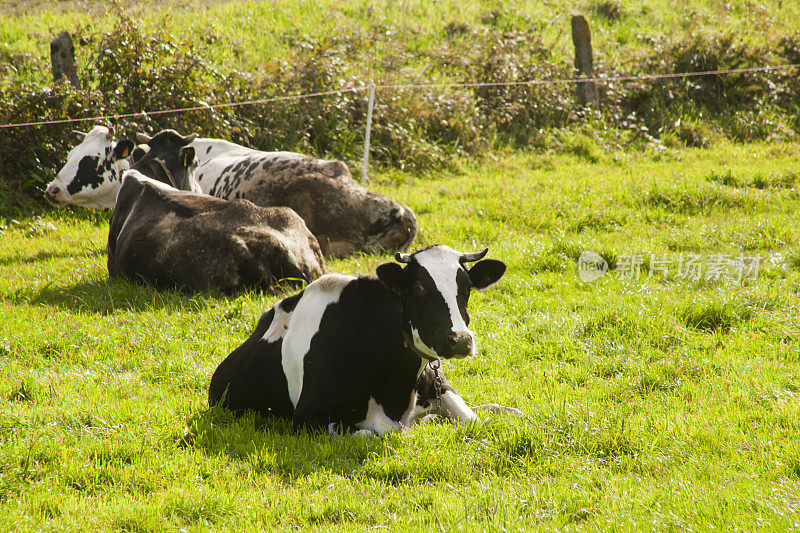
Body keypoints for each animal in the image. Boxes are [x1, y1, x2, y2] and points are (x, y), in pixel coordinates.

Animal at [208, 245, 520, 432]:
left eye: (466, 288)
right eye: (419, 287)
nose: (461, 340)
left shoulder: (440, 387)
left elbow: (475, 419)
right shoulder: (307, 418)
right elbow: (370, 433)